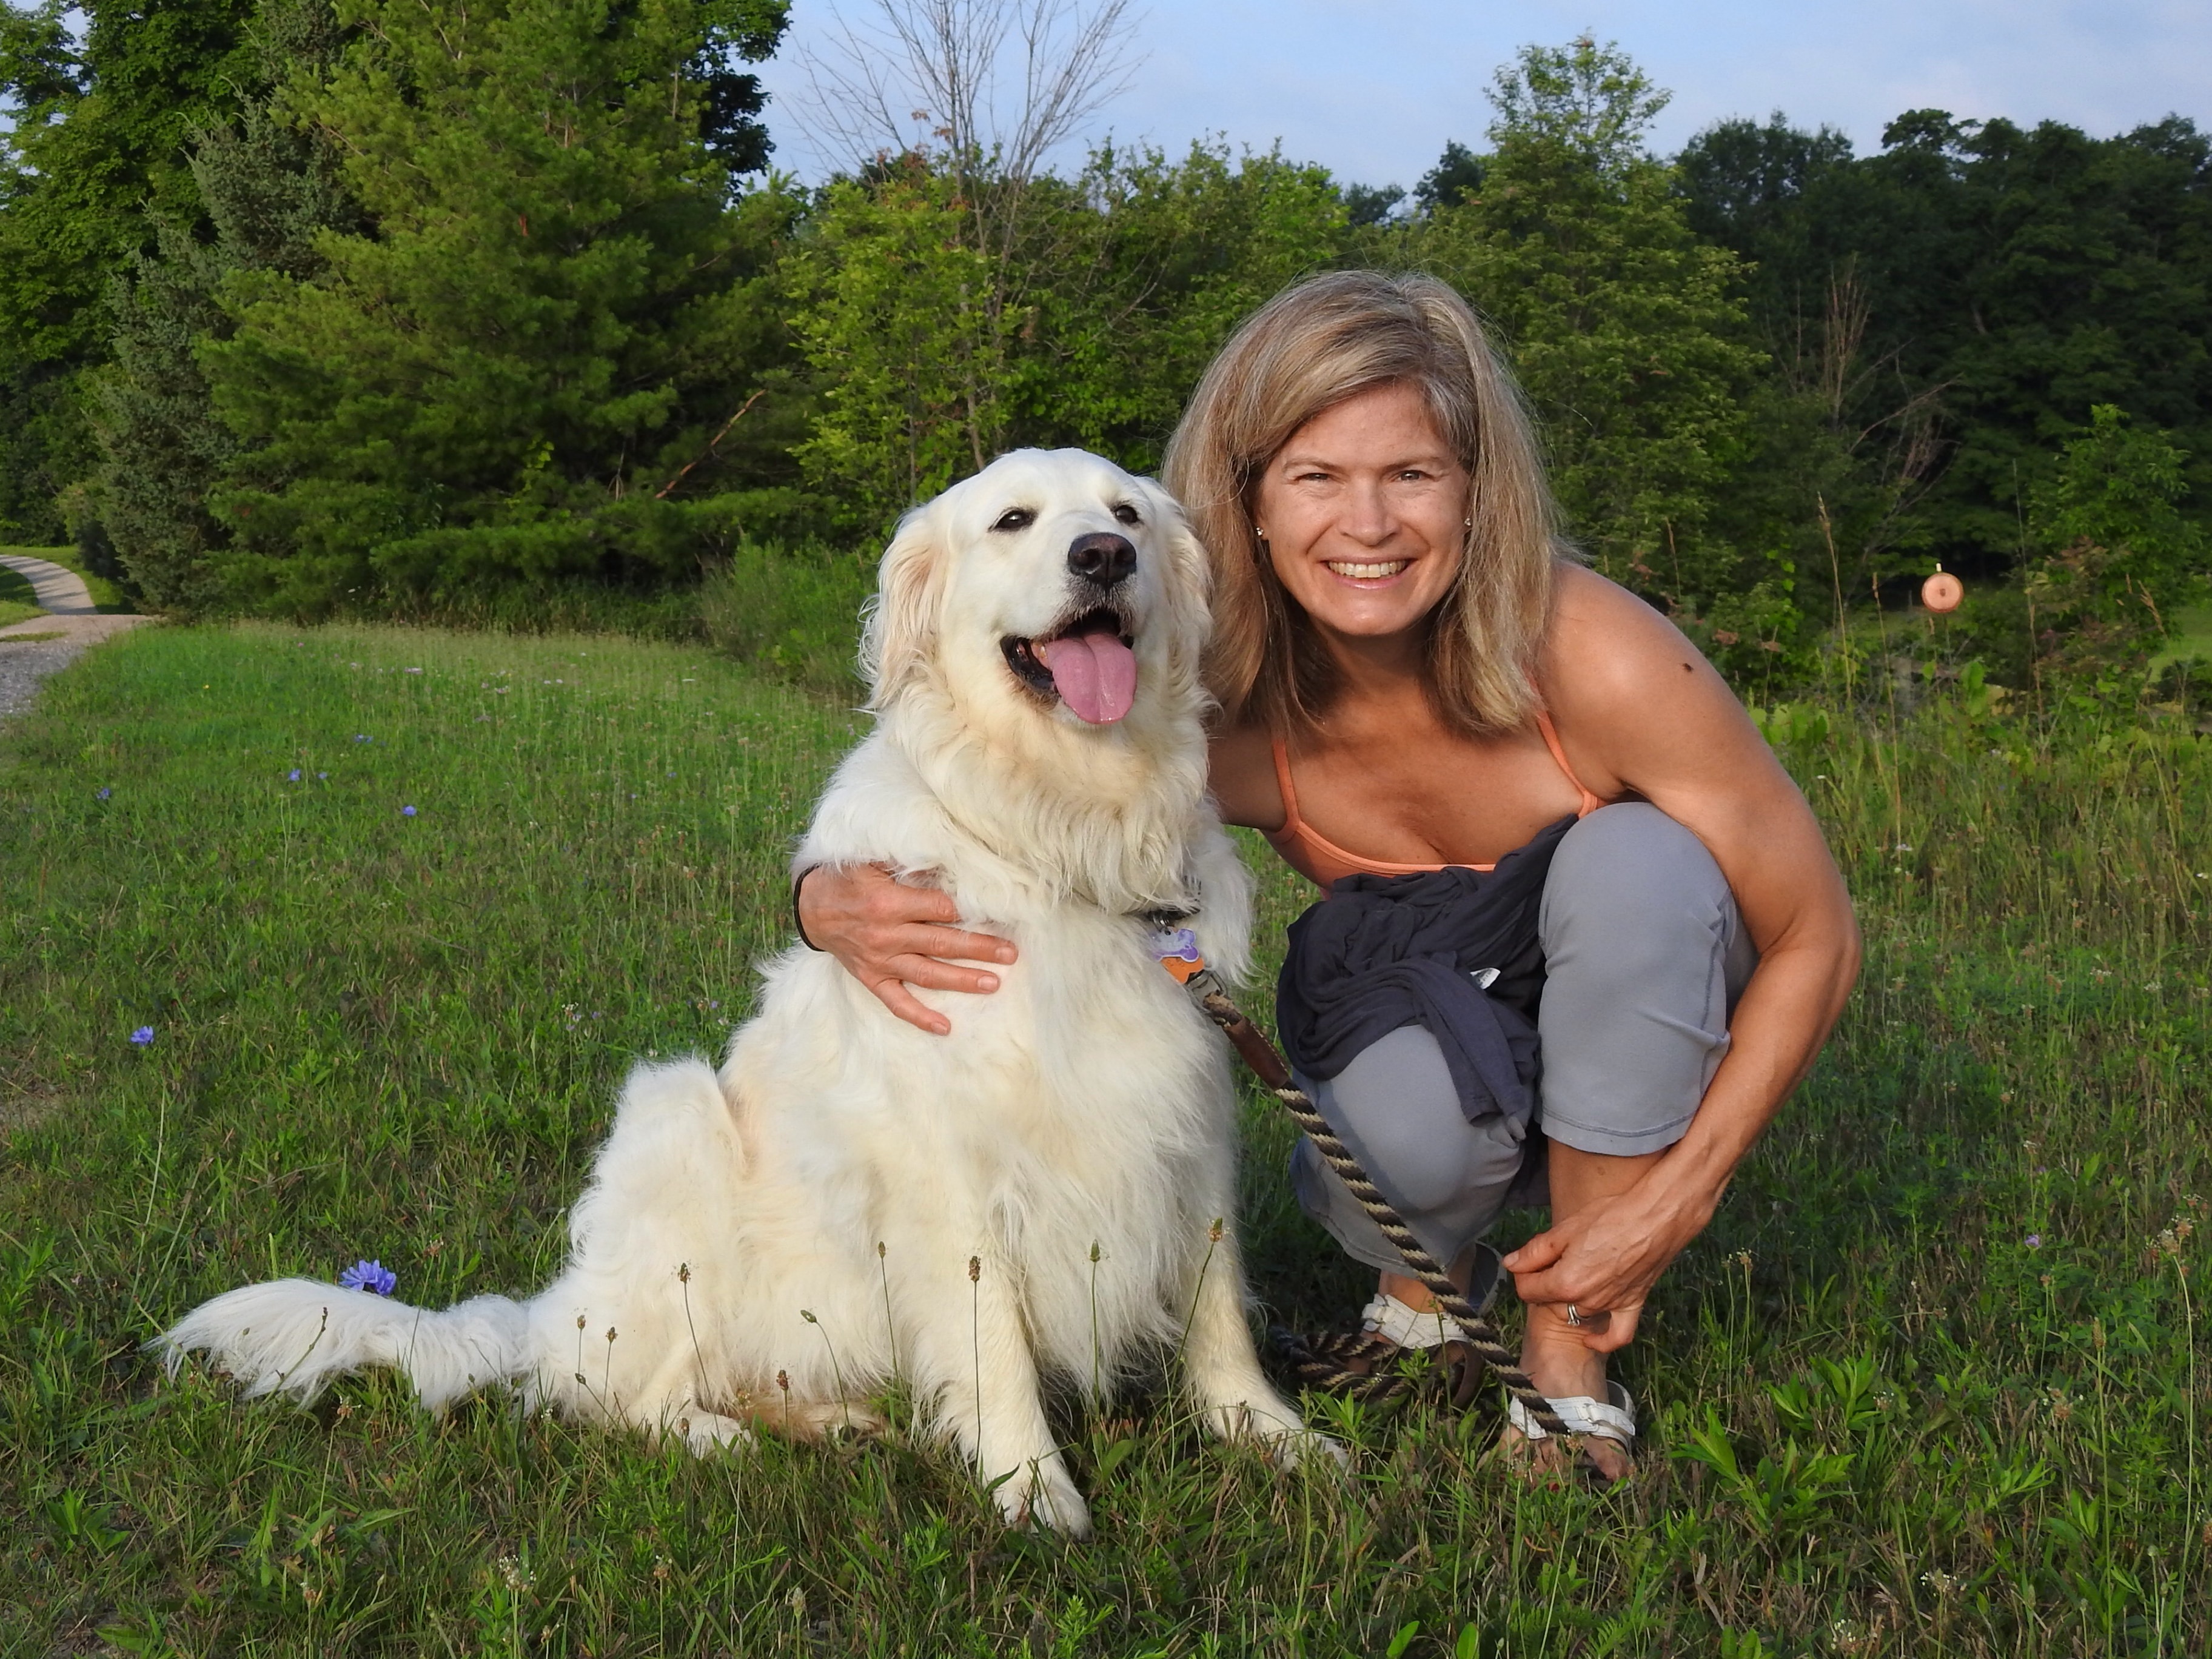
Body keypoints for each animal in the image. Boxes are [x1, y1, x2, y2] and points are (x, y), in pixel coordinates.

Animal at [163, 449, 1327, 1540]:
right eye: (1014, 520)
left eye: (1126, 512)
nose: (1104, 557)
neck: (1065, 832)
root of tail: (549, 1312)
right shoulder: (950, 1158)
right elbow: (990, 1329)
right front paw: (1030, 1483)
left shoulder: (1190, 1112)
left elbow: (1219, 1301)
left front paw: (1266, 1431)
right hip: (675, 1122)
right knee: (623, 1396)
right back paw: (724, 1438)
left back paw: (829, 1418)